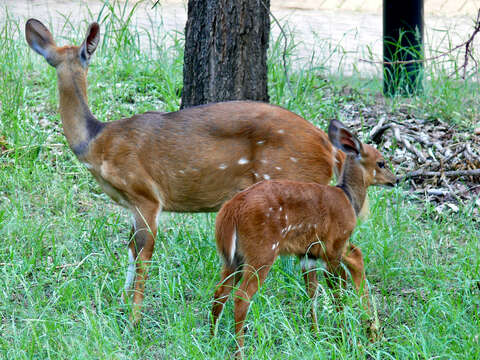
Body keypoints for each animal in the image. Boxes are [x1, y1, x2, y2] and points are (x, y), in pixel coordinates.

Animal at [24, 19, 346, 324]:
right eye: (52, 58)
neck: (97, 142)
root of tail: (331, 150)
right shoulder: (130, 204)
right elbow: (129, 250)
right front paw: (120, 307)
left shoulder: (146, 195)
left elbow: (143, 256)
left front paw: (134, 320)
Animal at [212, 119, 396, 358]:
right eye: (381, 163)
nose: (396, 179)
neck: (347, 200)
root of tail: (230, 210)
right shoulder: (333, 248)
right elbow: (337, 291)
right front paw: (343, 336)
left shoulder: (307, 254)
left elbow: (311, 293)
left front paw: (316, 334)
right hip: (262, 253)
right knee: (241, 297)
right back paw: (239, 352)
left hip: (233, 258)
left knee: (220, 293)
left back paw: (212, 340)